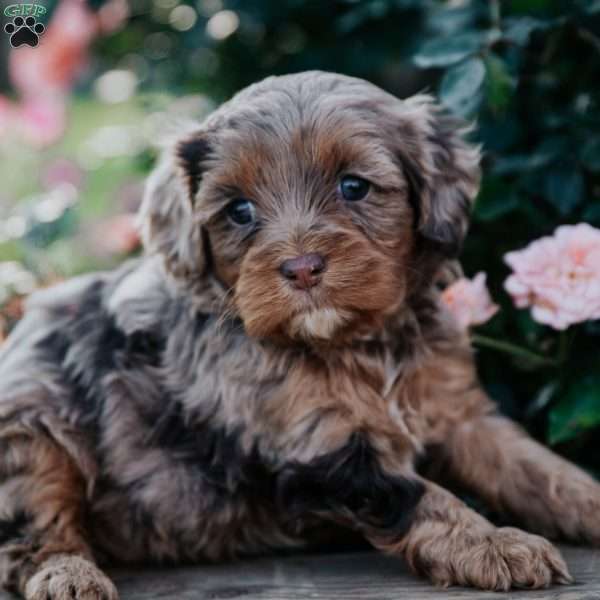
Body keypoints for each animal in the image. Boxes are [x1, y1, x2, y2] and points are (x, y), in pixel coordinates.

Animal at [1, 71, 600, 600]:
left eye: (353, 186)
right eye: (239, 210)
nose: (302, 268)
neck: (356, 342)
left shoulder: (461, 413)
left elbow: (536, 467)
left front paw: (587, 501)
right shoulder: (316, 447)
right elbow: (421, 495)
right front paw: (493, 544)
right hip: (35, 426)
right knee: (35, 530)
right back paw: (69, 576)